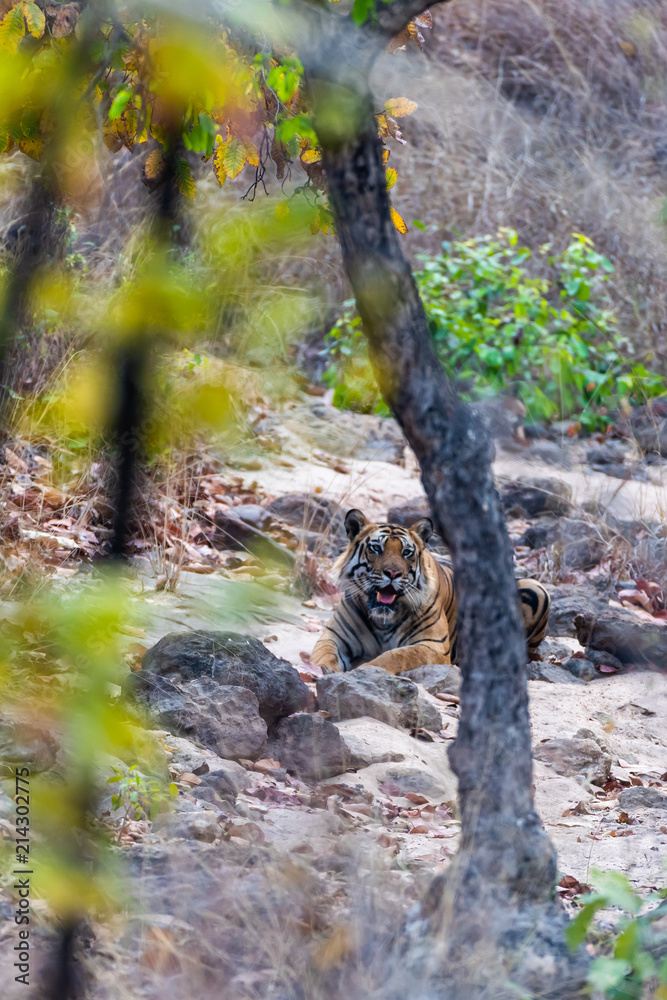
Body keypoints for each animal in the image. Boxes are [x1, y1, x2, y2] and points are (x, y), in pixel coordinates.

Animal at [311, 508, 550, 675]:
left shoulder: (432, 646)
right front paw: (325, 669)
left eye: (407, 552)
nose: (392, 573)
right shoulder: (334, 636)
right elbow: (323, 653)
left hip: (537, 588)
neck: (383, 621)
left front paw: (366, 669)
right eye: (376, 548)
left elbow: (396, 656)